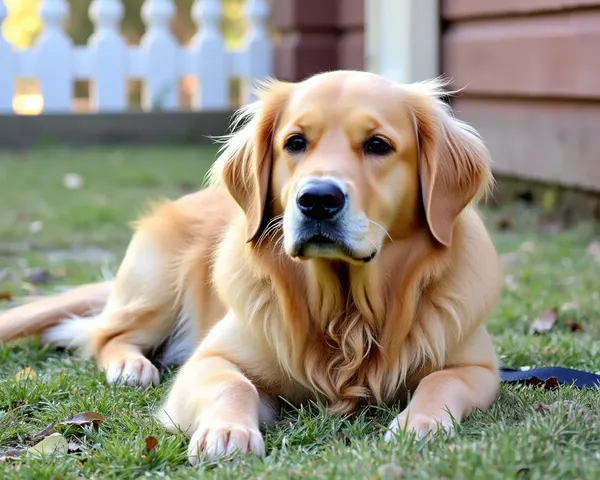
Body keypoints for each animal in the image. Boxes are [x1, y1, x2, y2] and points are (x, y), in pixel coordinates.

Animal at [0, 69, 504, 464]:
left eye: (378, 145)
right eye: (295, 142)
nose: (317, 200)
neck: (346, 315)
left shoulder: (477, 367)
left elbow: (439, 382)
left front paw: (420, 424)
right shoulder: (210, 360)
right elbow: (233, 385)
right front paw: (227, 431)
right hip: (155, 289)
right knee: (105, 334)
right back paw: (131, 366)